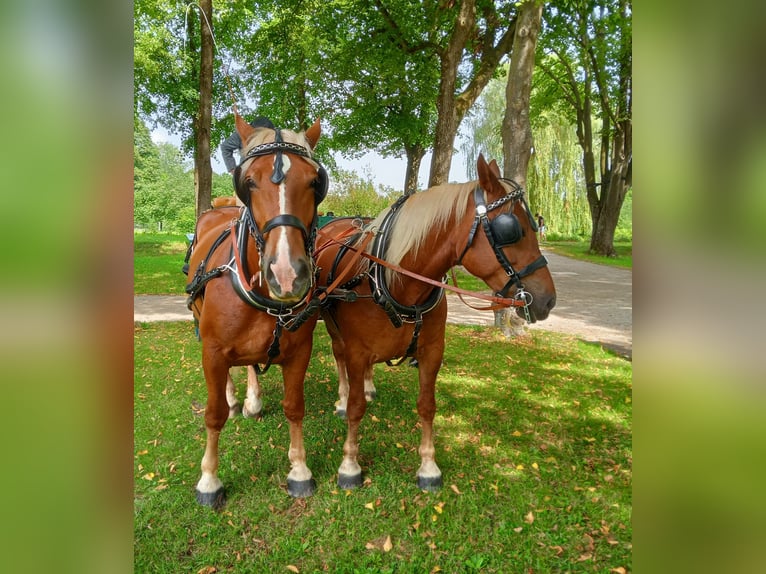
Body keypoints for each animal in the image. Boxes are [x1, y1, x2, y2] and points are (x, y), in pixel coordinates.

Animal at [189, 116, 330, 508]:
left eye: (314, 182)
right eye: (248, 181)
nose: (286, 273)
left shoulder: (299, 352)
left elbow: (294, 406)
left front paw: (299, 469)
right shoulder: (213, 352)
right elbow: (214, 415)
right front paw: (209, 479)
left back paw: (252, 399)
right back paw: (236, 397)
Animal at [312, 155, 560, 492]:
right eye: (512, 229)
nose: (548, 300)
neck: (396, 282)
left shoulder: (432, 351)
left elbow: (427, 405)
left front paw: (428, 466)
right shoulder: (356, 351)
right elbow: (355, 408)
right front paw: (350, 464)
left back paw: (368, 385)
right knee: (338, 354)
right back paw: (342, 396)